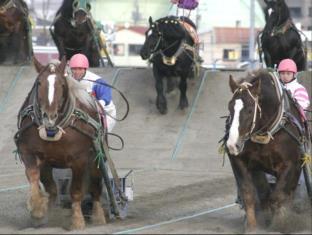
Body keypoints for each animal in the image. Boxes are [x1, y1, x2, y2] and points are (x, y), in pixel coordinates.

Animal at [14, 57, 107, 229]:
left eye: (62, 85)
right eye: (39, 83)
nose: (49, 116)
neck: (53, 128)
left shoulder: (79, 159)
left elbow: (76, 190)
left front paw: (77, 220)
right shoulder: (28, 152)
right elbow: (34, 176)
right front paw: (38, 208)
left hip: (96, 158)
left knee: (95, 186)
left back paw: (98, 216)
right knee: (52, 189)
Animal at [221, 69, 310, 231]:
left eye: (250, 110)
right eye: (230, 107)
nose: (232, 144)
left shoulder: (290, 164)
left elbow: (278, 197)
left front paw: (279, 223)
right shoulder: (241, 161)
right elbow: (249, 194)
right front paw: (252, 226)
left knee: (288, 193)